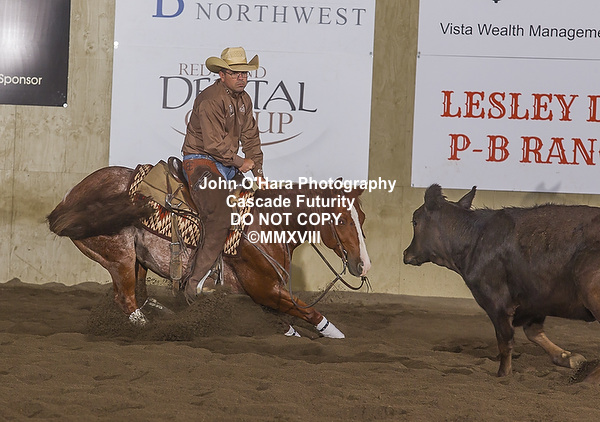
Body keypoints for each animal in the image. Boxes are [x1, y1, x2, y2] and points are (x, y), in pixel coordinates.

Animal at [47, 162, 371, 338]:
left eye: (363, 217)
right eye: (342, 220)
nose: (364, 265)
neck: (269, 223)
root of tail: (68, 200)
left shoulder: (266, 294)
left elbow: (287, 319)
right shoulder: (264, 288)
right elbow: (308, 310)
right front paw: (335, 333)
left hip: (137, 259)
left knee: (138, 293)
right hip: (119, 255)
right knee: (125, 298)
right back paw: (151, 326)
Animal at [403, 184, 600, 380]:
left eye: (415, 221)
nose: (406, 253)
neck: (475, 239)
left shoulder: (497, 304)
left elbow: (505, 341)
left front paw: (503, 373)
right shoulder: (535, 302)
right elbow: (534, 333)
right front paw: (568, 357)